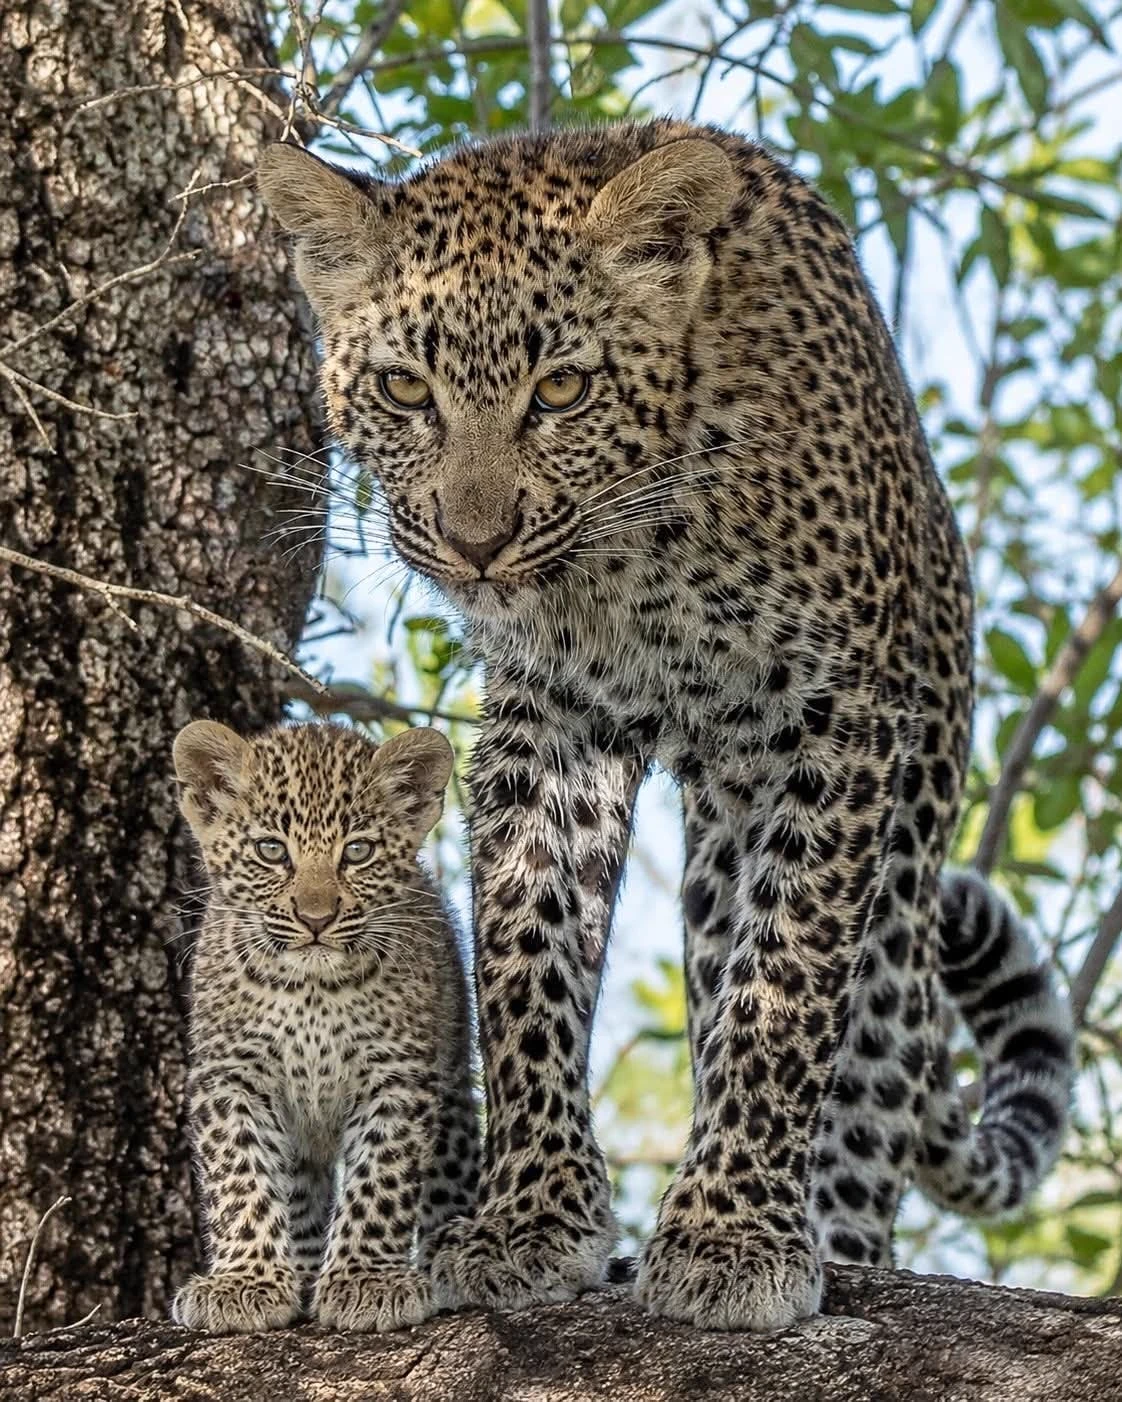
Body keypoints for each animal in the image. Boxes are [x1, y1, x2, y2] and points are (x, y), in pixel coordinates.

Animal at [170, 718, 479, 1334]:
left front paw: (366, 1281)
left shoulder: (397, 1078)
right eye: (271, 850)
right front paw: (245, 1284)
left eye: (357, 851)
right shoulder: (230, 1077)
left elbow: (380, 1180)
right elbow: (241, 1178)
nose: (316, 919)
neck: (311, 992)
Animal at [257, 118, 1075, 1332]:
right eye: (404, 387)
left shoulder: (836, 721)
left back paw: (835, 1239)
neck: (634, 564)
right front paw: (528, 1218)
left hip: (908, 824)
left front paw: (731, 1235)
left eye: (562, 387)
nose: (476, 544)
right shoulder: (550, 722)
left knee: (862, 1049)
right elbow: (525, 962)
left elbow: (784, 987)